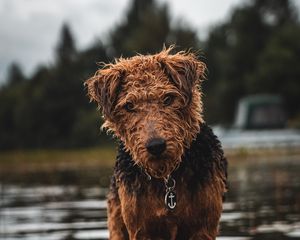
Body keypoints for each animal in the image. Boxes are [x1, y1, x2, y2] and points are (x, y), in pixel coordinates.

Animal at [85, 46, 229, 238]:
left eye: (168, 98)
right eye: (129, 106)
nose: (156, 146)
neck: (167, 178)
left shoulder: (204, 226)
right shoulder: (142, 228)